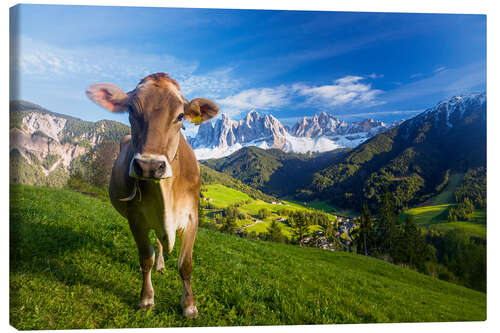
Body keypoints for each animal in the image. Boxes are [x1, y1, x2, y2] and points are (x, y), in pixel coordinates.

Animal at [86, 72, 219, 316]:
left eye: (180, 116)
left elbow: (185, 264)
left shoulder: (192, 217)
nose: (149, 166)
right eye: (131, 110)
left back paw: (161, 265)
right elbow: (145, 257)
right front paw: (147, 299)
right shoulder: (136, 218)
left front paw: (189, 305)